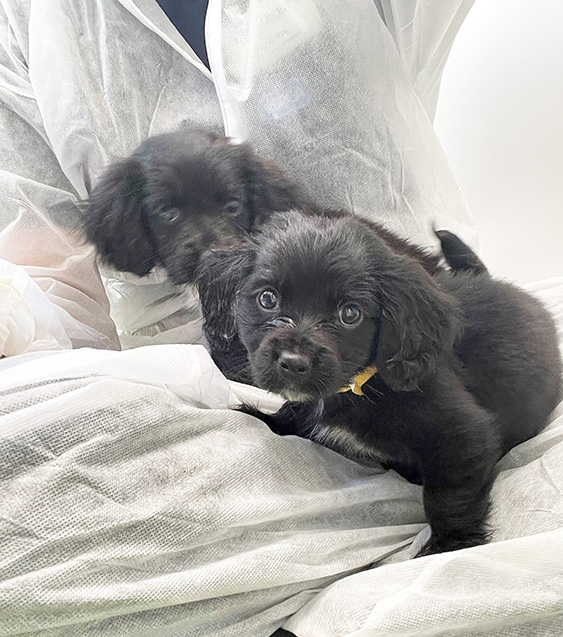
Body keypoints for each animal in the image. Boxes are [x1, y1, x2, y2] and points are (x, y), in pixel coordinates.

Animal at [228, 211, 560, 556]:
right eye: (268, 298)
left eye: (350, 314)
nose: (293, 362)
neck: (359, 385)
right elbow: (293, 414)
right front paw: (258, 415)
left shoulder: (466, 436)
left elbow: (449, 496)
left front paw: (449, 542)